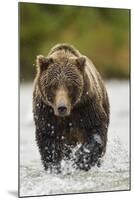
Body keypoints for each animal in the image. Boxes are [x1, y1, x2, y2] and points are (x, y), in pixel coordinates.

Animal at [32, 43, 110, 172]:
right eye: (53, 85)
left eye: (70, 85)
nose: (61, 107)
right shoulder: (46, 111)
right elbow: (48, 139)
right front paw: (54, 166)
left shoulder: (86, 106)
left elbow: (95, 130)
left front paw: (80, 160)